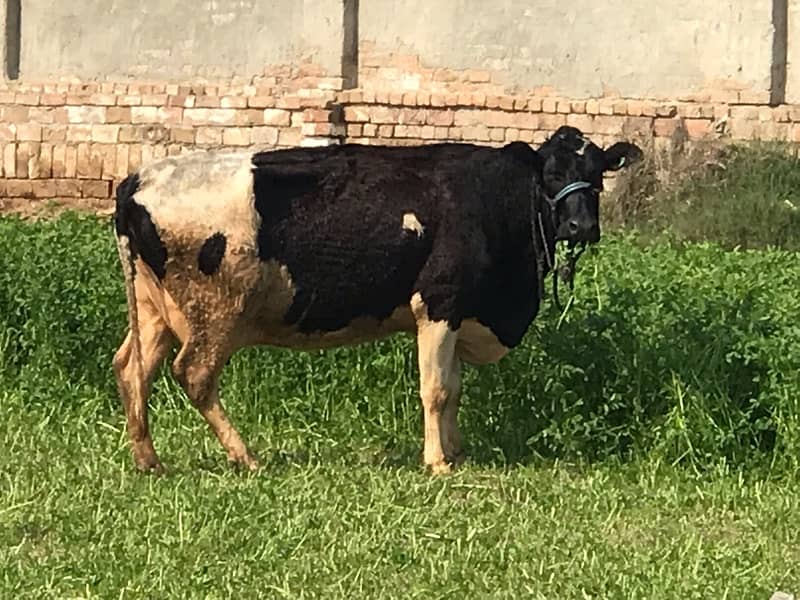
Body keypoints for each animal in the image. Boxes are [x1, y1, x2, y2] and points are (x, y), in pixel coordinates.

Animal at [112, 125, 640, 474]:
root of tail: (140, 179)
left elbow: (454, 389)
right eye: (550, 172)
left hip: (156, 310)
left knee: (132, 369)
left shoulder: (458, 313)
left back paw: (148, 459)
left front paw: (457, 452)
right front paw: (437, 463)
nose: (581, 226)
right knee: (194, 374)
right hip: (216, 311)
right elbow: (436, 390)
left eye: (597, 174)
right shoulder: (439, 303)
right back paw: (246, 457)